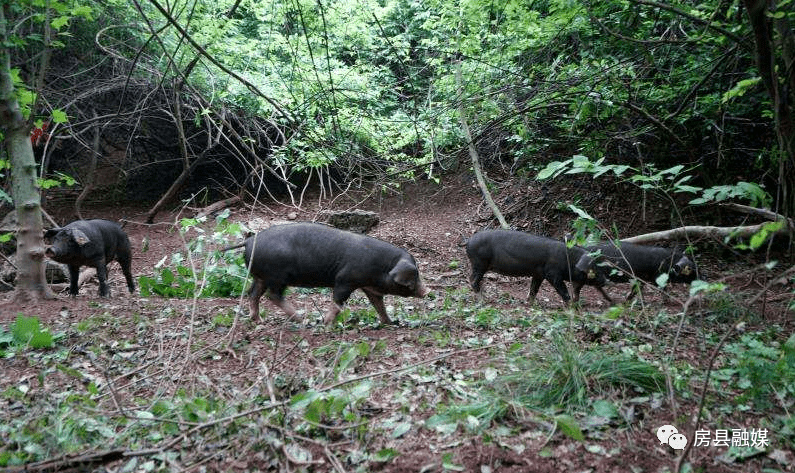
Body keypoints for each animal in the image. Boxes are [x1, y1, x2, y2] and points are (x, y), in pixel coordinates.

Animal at [227, 221, 430, 324]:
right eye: (415, 275)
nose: (428, 291)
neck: (382, 268)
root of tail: (249, 241)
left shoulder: (368, 287)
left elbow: (378, 304)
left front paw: (390, 323)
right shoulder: (345, 280)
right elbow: (338, 303)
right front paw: (327, 323)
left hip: (260, 276)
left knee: (253, 293)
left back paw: (258, 320)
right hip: (277, 276)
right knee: (272, 295)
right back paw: (302, 320)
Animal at [464, 230, 608, 304]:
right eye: (593, 269)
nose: (606, 280)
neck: (570, 260)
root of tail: (469, 241)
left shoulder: (538, 274)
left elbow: (534, 289)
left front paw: (530, 303)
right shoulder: (552, 274)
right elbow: (563, 291)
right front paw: (569, 306)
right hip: (480, 262)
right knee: (472, 280)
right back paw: (483, 300)